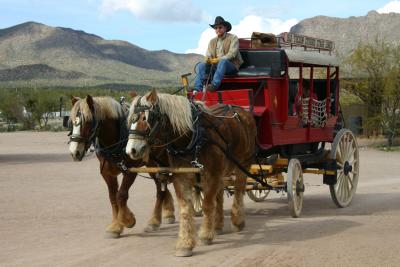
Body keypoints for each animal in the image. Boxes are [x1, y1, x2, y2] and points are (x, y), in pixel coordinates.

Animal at [68, 96, 174, 239]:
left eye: (88, 121)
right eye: (73, 122)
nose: (75, 152)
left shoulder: (130, 170)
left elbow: (121, 195)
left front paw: (127, 220)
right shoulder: (106, 172)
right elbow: (113, 197)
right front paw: (115, 225)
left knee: (161, 189)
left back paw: (154, 221)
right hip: (152, 164)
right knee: (161, 186)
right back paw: (166, 213)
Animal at [126, 90, 256, 258]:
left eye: (145, 118)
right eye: (131, 119)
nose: (131, 150)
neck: (192, 141)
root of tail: (242, 111)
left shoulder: (211, 177)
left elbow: (207, 205)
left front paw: (205, 235)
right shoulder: (181, 178)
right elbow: (185, 210)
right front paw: (185, 244)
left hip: (243, 163)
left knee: (239, 190)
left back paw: (237, 220)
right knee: (220, 195)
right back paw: (218, 225)